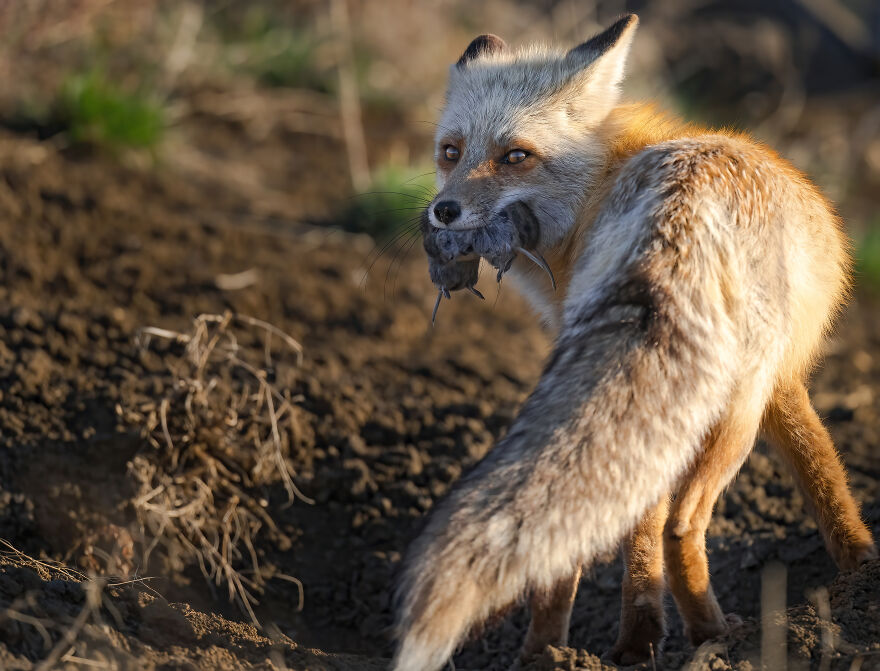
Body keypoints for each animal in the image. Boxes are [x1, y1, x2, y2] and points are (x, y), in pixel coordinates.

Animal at [393, 13, 877, 671]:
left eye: (515, 155)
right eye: (452, 151)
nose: (442, 211)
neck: (602, 179)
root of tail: (680, 207)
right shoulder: (781, 379)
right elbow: (823, 473)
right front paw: (863, 567)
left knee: (612, 530)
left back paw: (579, 649)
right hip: (733, 409)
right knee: (679, 524)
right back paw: (713, 638)